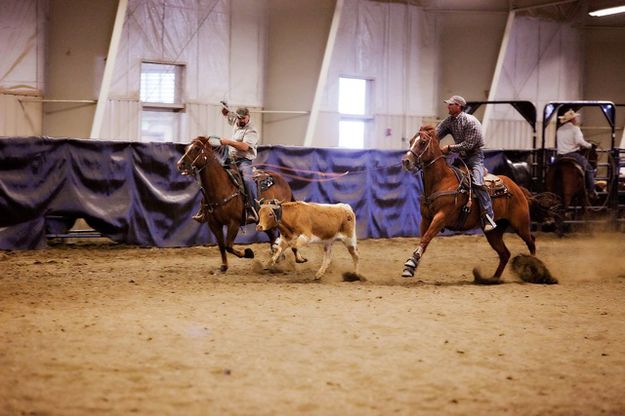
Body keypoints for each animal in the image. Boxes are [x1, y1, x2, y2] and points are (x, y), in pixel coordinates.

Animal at [176, 136, 304, 272]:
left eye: (196, 148)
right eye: (186, 148)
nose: (180, 164)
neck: (221, 188)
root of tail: (283, 181)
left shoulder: (234, 222)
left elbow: (228, 245)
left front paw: (248, 253)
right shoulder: (214, 224)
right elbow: (221, 245)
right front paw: (224, 266)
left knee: (288, 235)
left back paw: (298, 258)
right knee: (272, 236)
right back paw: (277, 257)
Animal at [402, 125, 540, 284]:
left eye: (423, 142)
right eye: (411, 141)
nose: (406, 161)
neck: (441, 181)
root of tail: (518, 188)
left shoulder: (441, 217)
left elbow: (426, 238)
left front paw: (410, 263)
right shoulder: (426, 219)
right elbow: (423, 240)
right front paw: (410, 267)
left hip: (520, 224)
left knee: (531, 241)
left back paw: (534, 269)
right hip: (493, 232)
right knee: (505, 253)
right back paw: (492, 279)